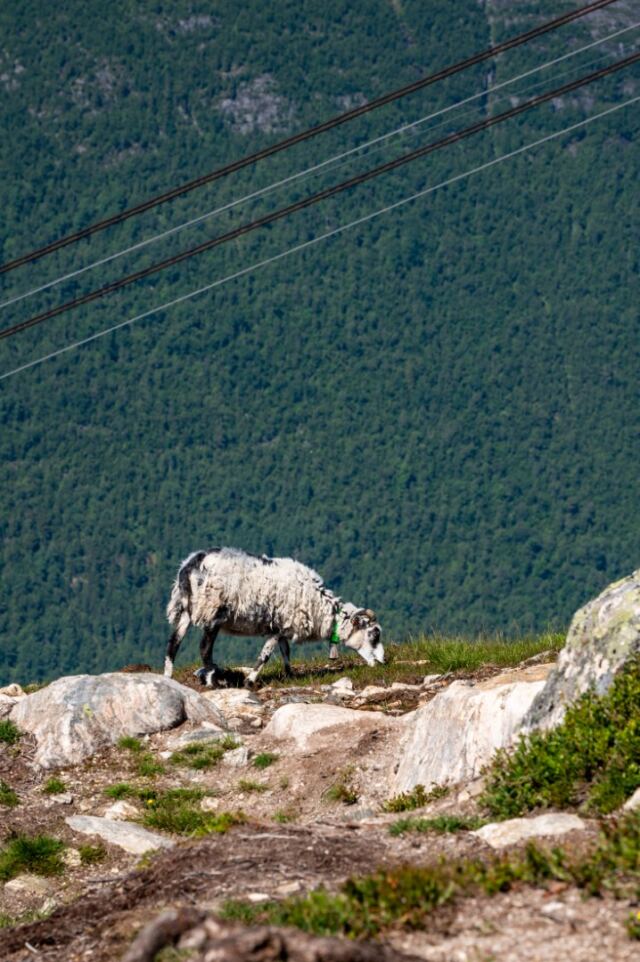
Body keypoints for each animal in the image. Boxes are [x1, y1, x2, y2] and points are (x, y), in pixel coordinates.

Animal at [164, 547, 384, 686]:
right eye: (374, 634)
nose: (382, 662)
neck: (319, 608)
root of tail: (189, 566)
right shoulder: (278, 626)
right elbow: (266, 654)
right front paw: (250, 681)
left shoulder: (283, 627)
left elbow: (285, 652)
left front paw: (289, 675)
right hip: (212, 612)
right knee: (204, 649)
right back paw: (215, 679)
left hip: (185, 611)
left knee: (173, 644)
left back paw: (168, 678)